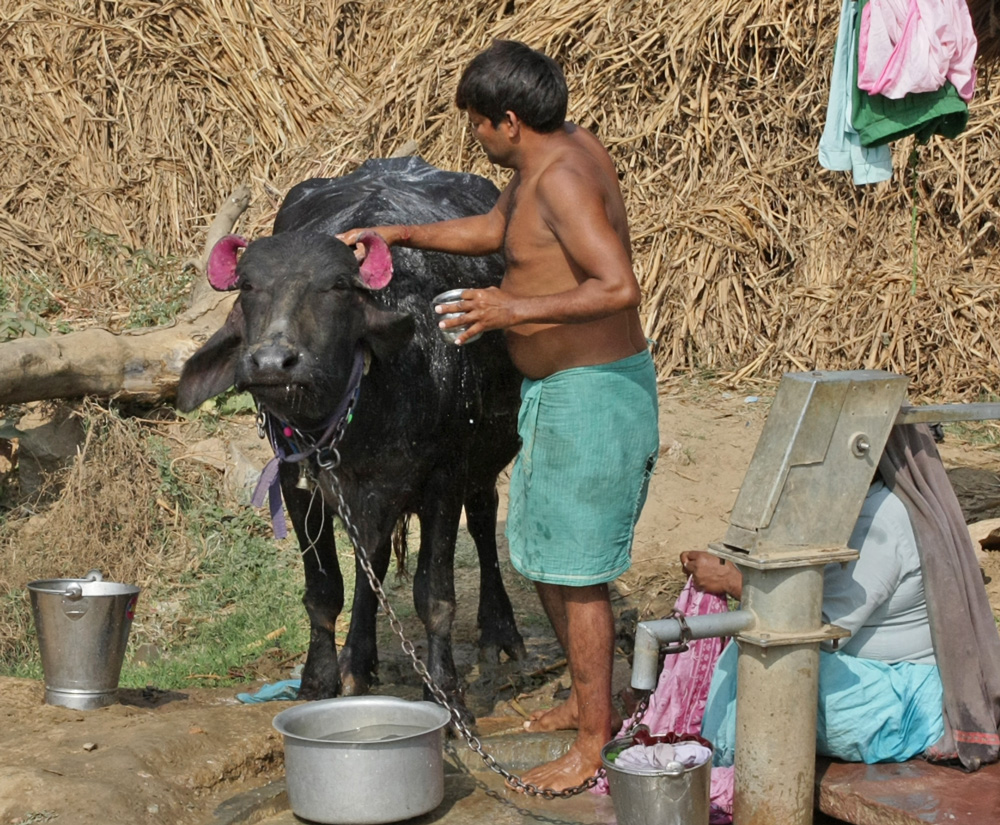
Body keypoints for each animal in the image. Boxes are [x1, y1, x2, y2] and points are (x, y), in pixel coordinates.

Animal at [177, 158, 528, 716]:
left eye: (338, 286)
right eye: (249, 287)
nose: (272, 362)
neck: (362, 415)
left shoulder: (444, 479)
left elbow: (435, 596)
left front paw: (447, 695)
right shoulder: (299, 483)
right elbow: (324, 593)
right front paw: (317, 683)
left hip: (482, 463)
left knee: (482, 520)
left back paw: (500, 633)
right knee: (374, 560)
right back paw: (357, 661)